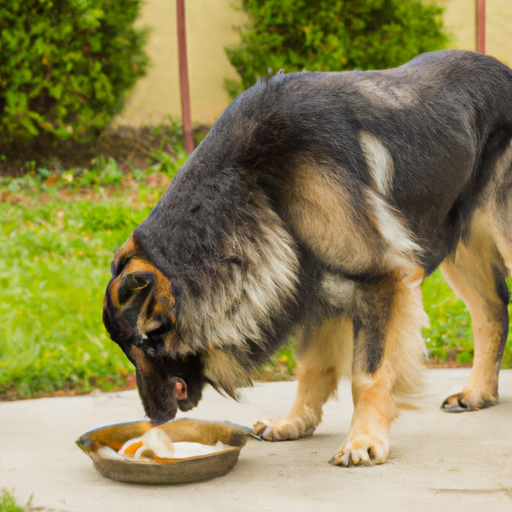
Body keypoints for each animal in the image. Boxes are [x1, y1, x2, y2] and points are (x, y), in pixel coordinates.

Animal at [102, 50, 512, 466]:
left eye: (144, 345)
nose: (155, 419)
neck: (253, 180)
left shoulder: (378, 278)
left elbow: (368, 373)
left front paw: (363, 440)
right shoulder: (314, 284)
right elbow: (312, 367)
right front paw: (295, 423)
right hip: (460, 249)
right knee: (492, 309)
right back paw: (478, 392)